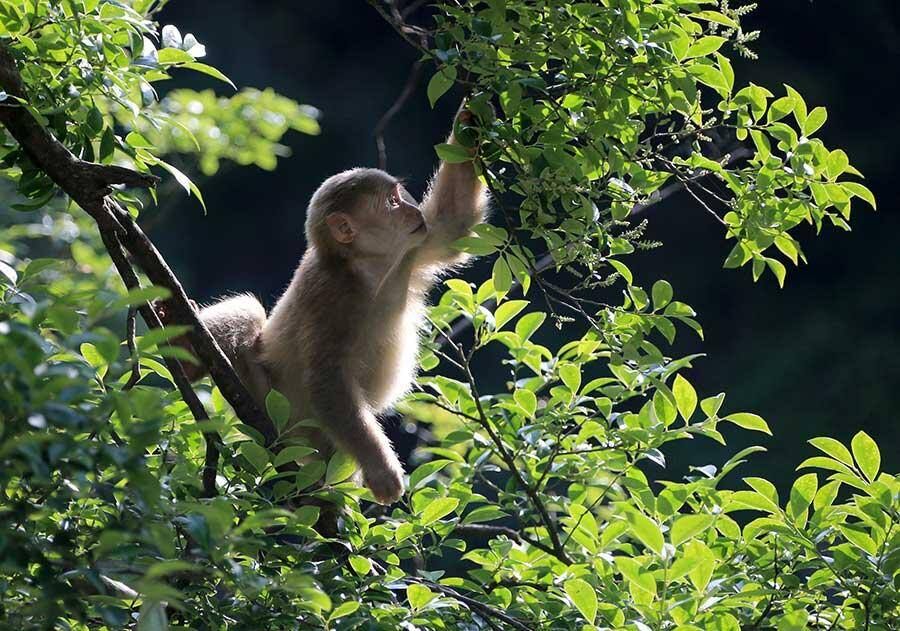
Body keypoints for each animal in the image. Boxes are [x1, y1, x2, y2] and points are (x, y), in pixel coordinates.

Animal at [162, 108, 486, 504]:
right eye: (392, 203)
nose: (411, 210)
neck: (366, 272)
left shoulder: (410, 252)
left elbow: (453, 222)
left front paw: (470, 117)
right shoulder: (329, 295)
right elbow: (327, 379)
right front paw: (383, 472)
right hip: (276, 409)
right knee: (250, 316)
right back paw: (183, 352)